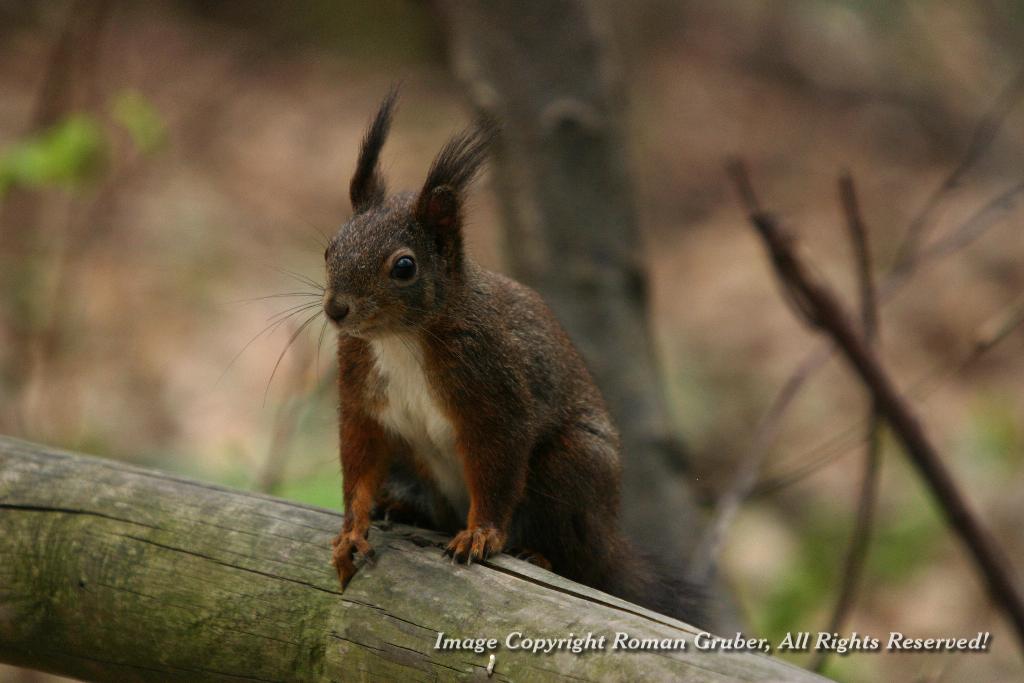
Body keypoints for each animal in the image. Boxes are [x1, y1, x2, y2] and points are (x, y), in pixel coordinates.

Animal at [323, 93, 700, 626]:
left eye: (404, 266)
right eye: (329, 248)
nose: (336, 309)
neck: (400, 338)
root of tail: (609, 542)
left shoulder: (494, 387)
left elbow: (498, 464)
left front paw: (482, 534)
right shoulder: (362, 394)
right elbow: (359, 459)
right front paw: (350, 532)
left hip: (572, 469)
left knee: (573, 556)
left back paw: (536, 555)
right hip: (412, 464)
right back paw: (400, 508)